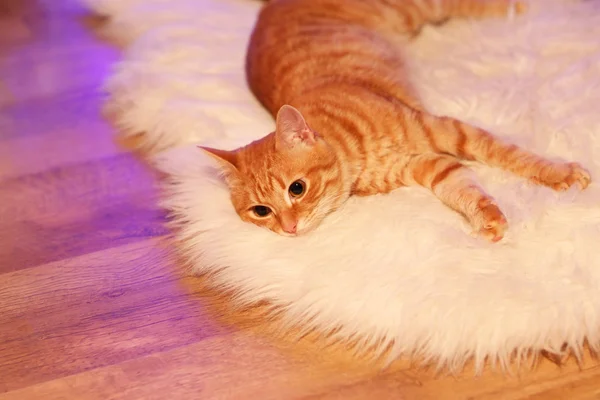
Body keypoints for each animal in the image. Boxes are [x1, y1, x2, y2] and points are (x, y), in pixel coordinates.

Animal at [200, 0, 592, 241]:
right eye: (261, 211)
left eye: (297, 188)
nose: (289, 228)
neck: (358, 156)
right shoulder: (430, 167)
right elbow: (464, 190)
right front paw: (487, 217)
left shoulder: (449, 130)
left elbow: (510, 154)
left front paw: (561, 173)